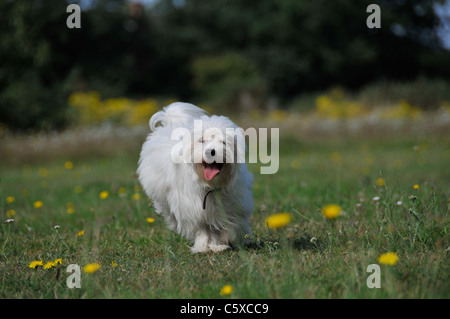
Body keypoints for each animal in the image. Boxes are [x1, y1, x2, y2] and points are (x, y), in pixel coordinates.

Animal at [137, 104, 253, 254]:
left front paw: (227, 239)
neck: (211, 184)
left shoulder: (235, 203)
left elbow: (233, 223)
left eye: (223, 141)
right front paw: (207, 246)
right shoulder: (193, 208)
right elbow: (203, 229)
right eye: (201, 140)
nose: (211, 151)